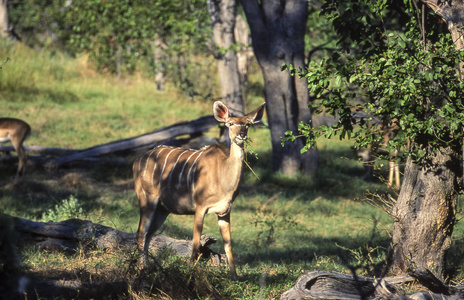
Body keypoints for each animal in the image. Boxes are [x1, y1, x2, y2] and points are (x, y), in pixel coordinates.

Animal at [133, 101, 264, 278]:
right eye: (230, 123)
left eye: (247, 124)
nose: (241, 135)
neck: (223, 179)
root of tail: (137, 160)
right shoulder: (200, 207)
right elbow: (195, 243)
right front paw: (190, 273)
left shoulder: (225, 210)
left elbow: (228, 244)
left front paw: (235, 277)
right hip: (147, 199)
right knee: (141, 232)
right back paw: (141, 269)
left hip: (162, 209)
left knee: (149, 234)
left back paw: (146, 268)